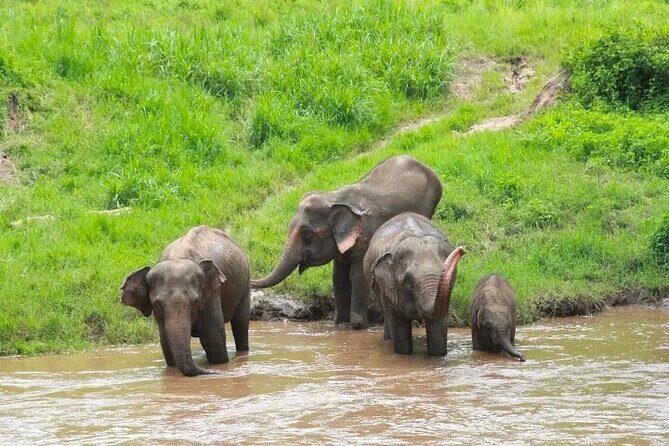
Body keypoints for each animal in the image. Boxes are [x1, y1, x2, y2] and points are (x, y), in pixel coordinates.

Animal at [121, 226, 250, 376]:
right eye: (157, 305)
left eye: (195, 302)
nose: (213, 372)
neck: (178, 256)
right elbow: (165, 341)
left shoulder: (212, 294)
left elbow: (214, 336)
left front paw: (220, 365)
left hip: (245, 281)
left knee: (240, 323)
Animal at [251, 155, 443, 330]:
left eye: (307, 233)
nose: (251, 281)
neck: (334, 199)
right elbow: (338, 276)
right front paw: (340, 324)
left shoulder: (365, 234)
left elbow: (357, 274)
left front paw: (357, 326)